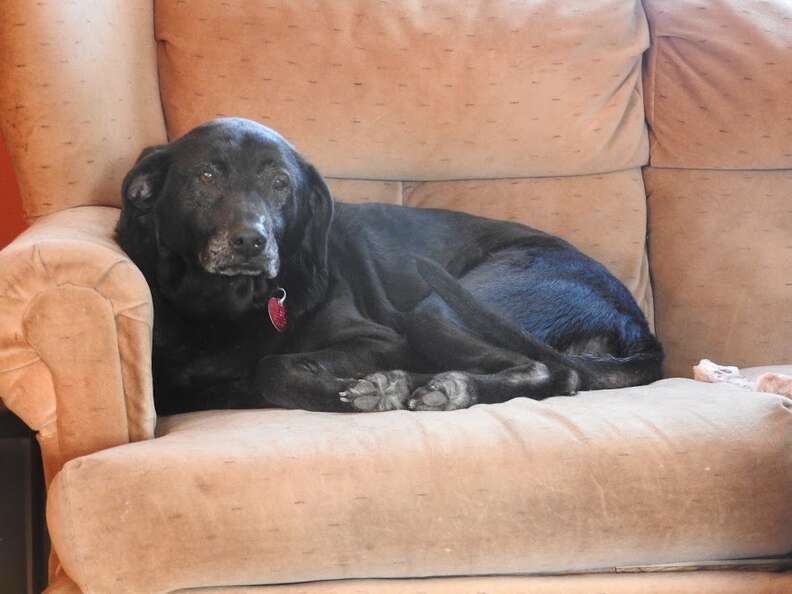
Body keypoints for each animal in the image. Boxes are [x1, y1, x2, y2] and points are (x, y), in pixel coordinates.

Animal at [116, 115, 664, 412]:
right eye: (206, 176)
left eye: (280, 184)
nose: (252, 241)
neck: (228, 304)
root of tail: (638, 323)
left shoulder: (380, 339)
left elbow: (271, 369)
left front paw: (361, 389)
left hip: (437, 307)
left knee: (554, 372)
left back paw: (439, 387)